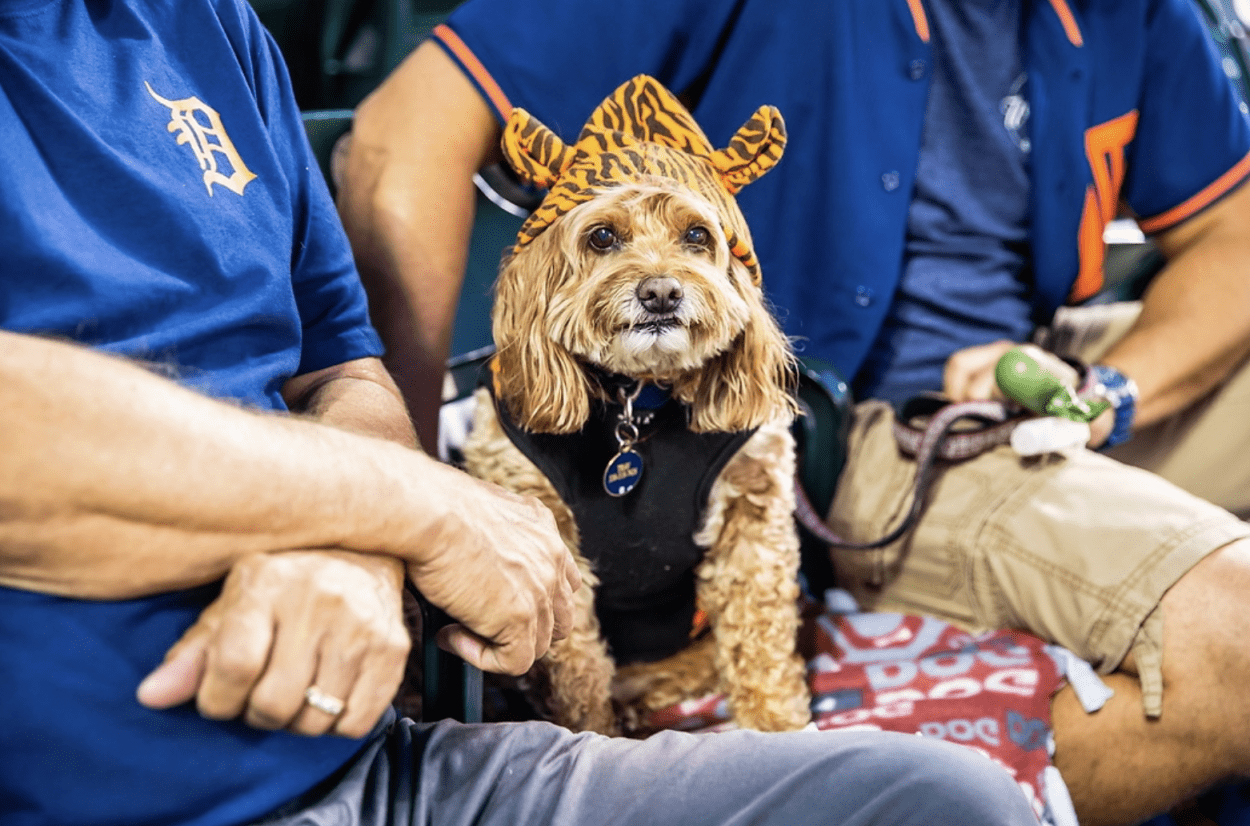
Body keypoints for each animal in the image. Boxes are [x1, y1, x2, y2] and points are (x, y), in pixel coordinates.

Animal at [462, 75, 810, 734]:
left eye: (697, 235)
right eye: (603, 236)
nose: (661, 292)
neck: (637, 399)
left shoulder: (752, 519)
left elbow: (760, 640)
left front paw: (778, 728)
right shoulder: (551, 552)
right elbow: (576, 670)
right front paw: (591, 737)